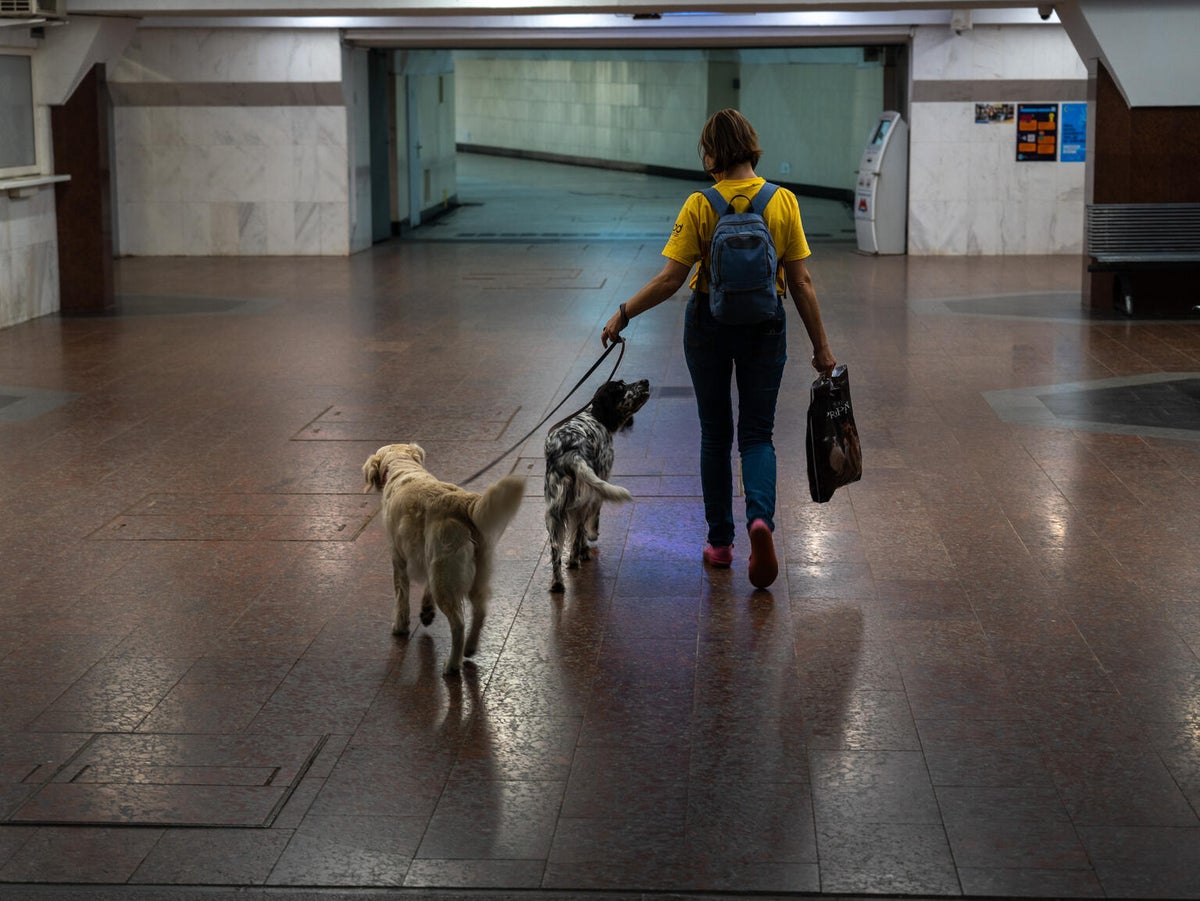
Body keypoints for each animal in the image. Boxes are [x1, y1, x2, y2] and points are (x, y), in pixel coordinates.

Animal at [360, 443, 520, 676]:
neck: (402, 466)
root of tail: (465, 504)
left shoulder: (398, 557)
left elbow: (401, 596)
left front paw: (400, 625)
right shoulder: (427, 558)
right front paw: (426, 610)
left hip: (444, 574)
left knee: (458, 624)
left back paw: (452, 664)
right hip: (469, 572)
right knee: (480, 611)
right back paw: (470, 647)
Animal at [547, 379, 652, 595]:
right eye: (620, 387)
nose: (645, 381)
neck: (595, 416)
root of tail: (571, 453)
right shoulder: (599, 486)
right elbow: (591, 524)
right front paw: (590, 542)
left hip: (554, 513)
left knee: (556, 550)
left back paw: (558, 583)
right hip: (583, 501)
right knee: (577, 536)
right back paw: (577, 558)